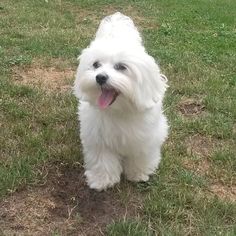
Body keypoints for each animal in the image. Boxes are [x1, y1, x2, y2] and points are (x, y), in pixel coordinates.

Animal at [74, 12, 168, 191]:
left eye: (121, 67)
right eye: (96, 65)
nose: (100, 77)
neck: (119, 110)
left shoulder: (144, 138)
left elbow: (140, 156)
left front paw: (138, 174)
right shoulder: (99, 139)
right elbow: (103, 160)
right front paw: (102, 180)